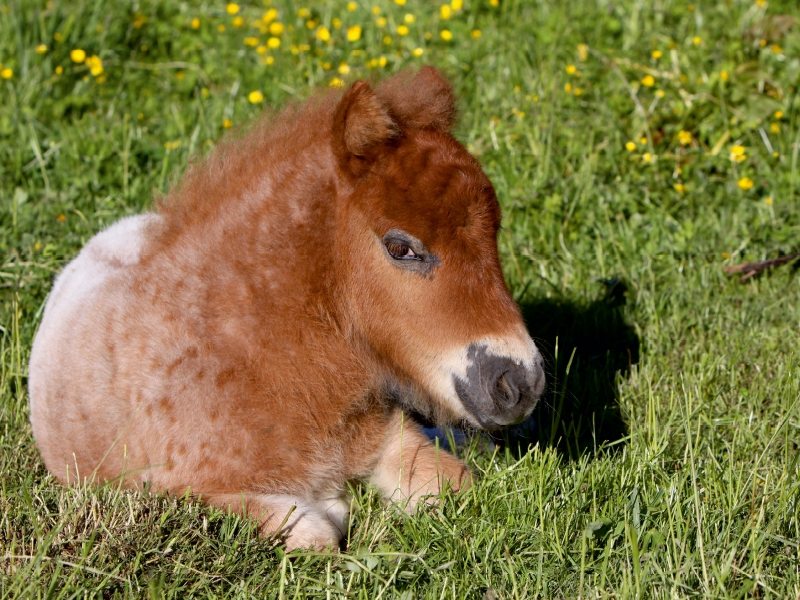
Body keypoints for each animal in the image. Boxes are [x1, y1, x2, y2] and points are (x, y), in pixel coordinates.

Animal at [28, 68, 548, 552]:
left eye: (495, 232)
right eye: (400, 247)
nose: (520, 383)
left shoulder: (384, 435)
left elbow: (455, 484)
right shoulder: (181, 490)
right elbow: (316, 532)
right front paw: (335, 505)